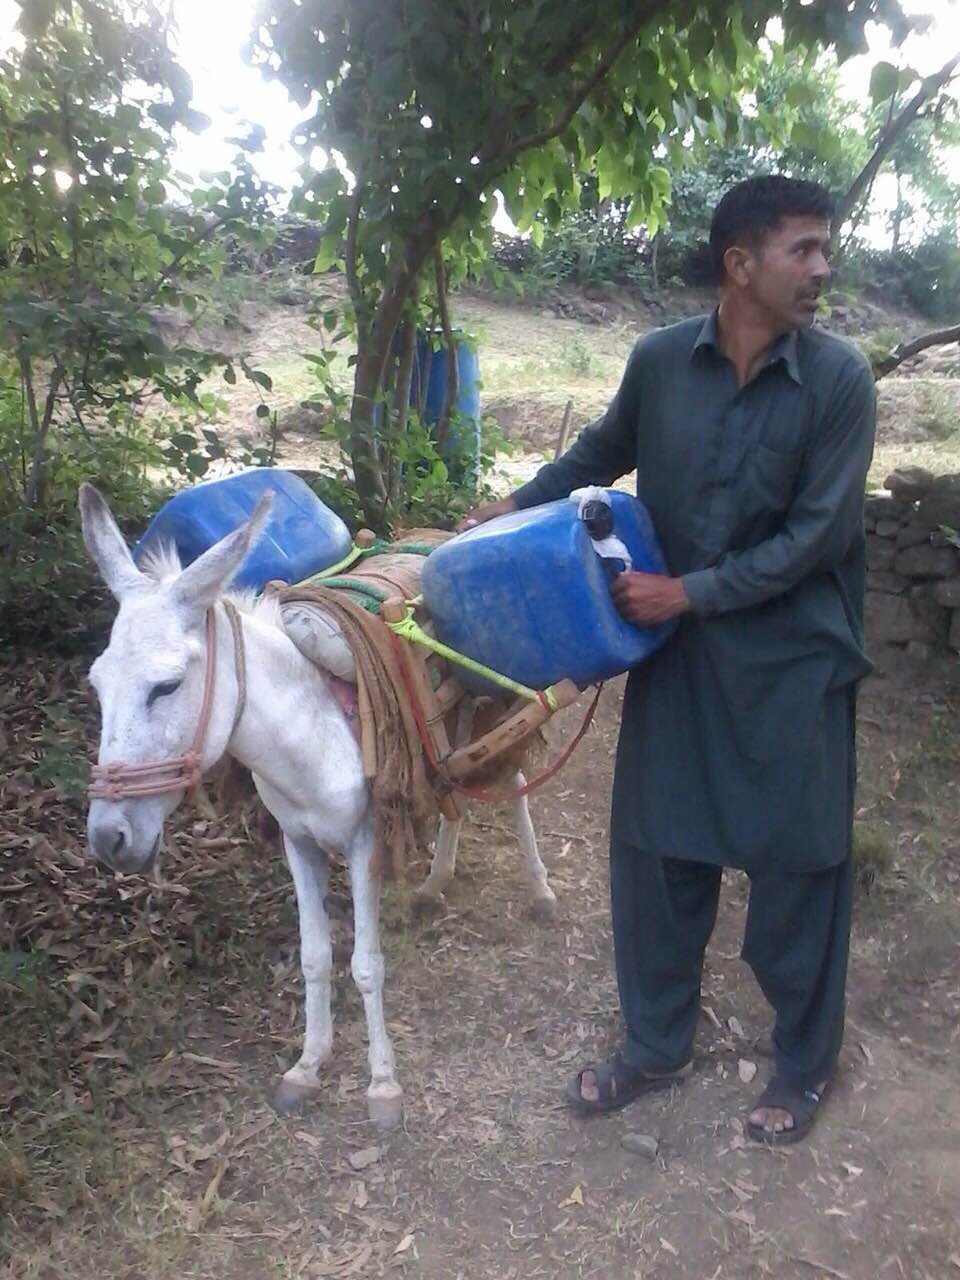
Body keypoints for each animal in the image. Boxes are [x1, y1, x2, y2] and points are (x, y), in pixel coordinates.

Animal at [78, 484, 557, 1129]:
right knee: (451, 782)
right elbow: (314, 957)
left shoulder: (364, 842)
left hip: (490, 704)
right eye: (97, 687)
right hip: (447, 721)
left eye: (167, 686)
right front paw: (307, 1066)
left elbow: (366, 963)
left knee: (513, 783)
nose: (109, 839)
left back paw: (539, 890)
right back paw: (435, 882)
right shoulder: (297, 842)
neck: (304, 729)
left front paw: (383, 1086)